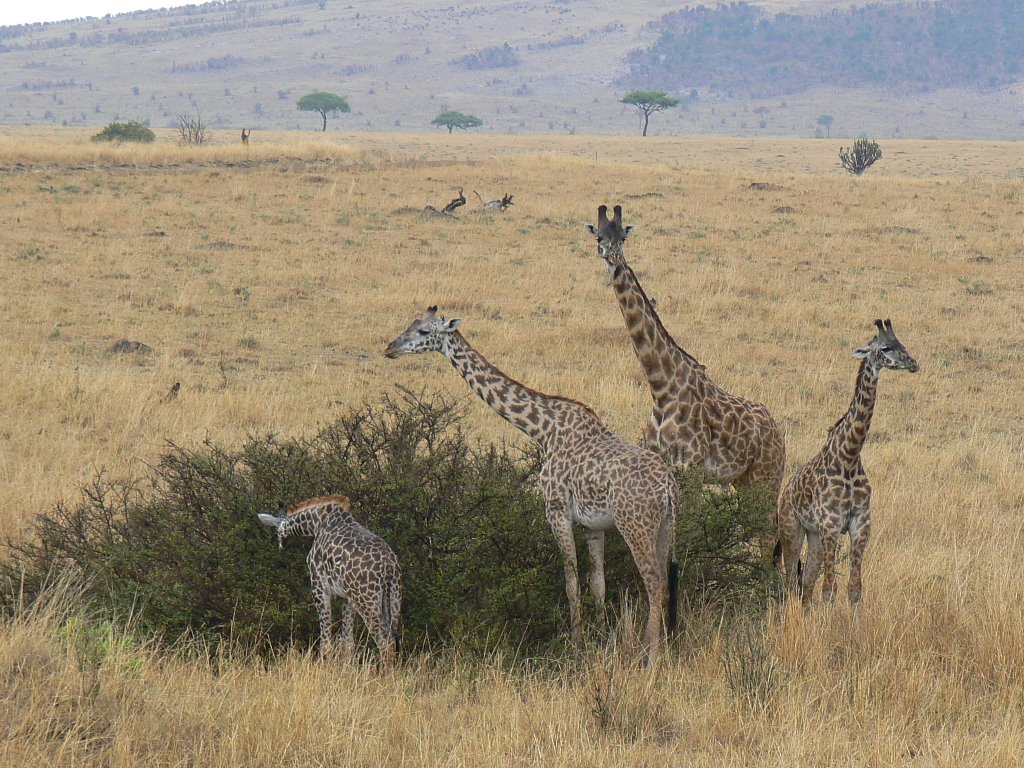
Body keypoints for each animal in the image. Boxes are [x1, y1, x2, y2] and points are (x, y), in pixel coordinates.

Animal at [256, 495, 399, 663]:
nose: (280, 546)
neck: (317, 521)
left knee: (384, 643)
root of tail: (389, 565)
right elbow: (348, 643)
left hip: (366, 600)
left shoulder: (319, 587)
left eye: (276, 531)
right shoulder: (347, 597)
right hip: (392, 599)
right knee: (391, 640)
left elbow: (325, 640)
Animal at [385, 307, 679, 667]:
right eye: (410, 324)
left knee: (653, 582)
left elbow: (570, 581)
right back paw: (661, 647)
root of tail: (668, 488)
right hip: (665, 526)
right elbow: (597, 582)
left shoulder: (555, 509)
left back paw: (651, 657)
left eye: (424, 331)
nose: (390, 348)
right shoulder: (592, 524)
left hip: (635, 524)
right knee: (663, 582)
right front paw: (601, 638)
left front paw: (577, 643)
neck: (543, 430)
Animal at [774, 319, 921, 606]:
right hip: (792, 530)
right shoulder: (831, 524)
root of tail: (786, 491)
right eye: (885, 348)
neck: (849, 456)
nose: (913, 363)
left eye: (902, 343)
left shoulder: (860, 524)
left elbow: (854, 588)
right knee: (790, 580)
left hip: (815, 536)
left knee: (806, 583)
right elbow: (830, 590)